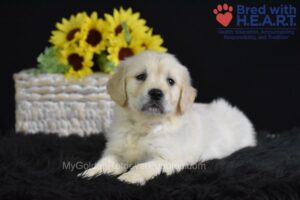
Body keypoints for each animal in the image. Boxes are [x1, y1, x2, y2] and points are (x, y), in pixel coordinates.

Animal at [79, 50, 255, 184]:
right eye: (141, 76)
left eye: (170, 81)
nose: (156, 93)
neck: (145, 124)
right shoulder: (117, 150)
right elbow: (105, 162)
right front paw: (92, 173)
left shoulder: (168, 158)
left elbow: (141, 166)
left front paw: (129, 177)